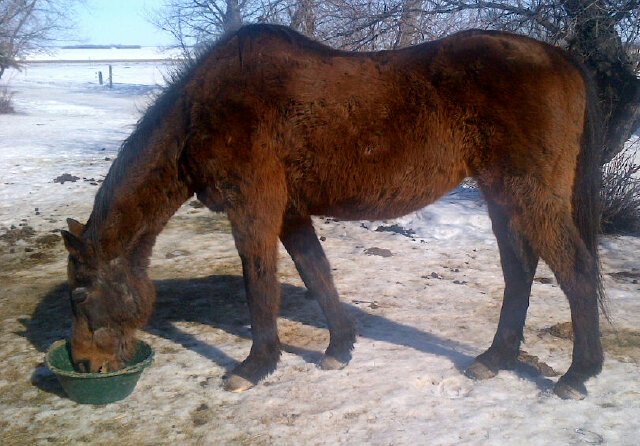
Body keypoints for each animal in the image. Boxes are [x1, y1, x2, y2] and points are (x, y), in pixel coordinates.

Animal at [61, 23, 605, 400]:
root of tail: (561, 59)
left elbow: (260, 285)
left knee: (575, 271)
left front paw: (255, 367)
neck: (202, 113)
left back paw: (578, 374)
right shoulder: (290, 213)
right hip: (502, 196)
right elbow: (316, 273)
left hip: (529, 196)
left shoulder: (253, 209)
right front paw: (339, 348)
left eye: (81, 294)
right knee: (520, 270)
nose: (85, 365)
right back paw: (496, 358)